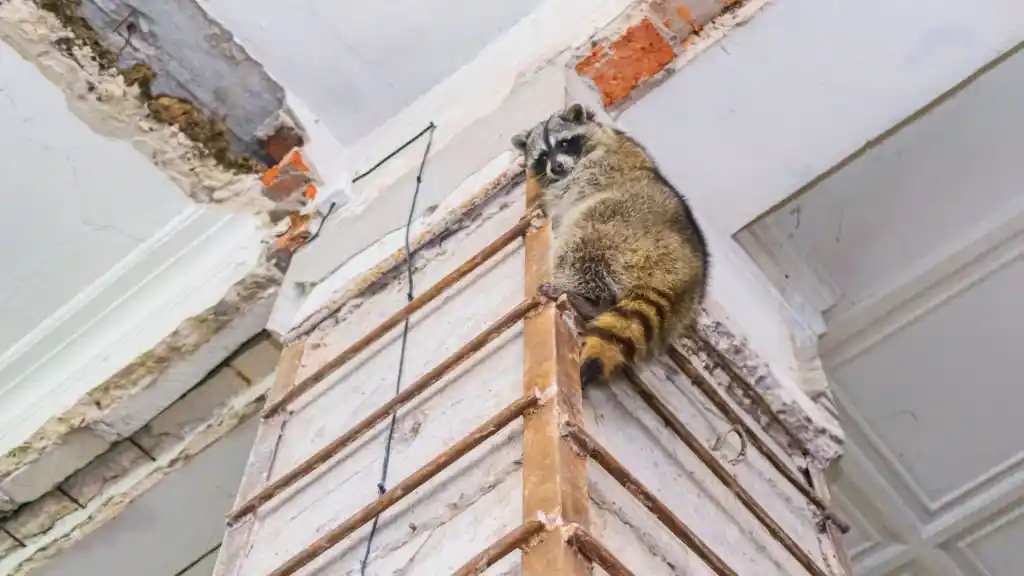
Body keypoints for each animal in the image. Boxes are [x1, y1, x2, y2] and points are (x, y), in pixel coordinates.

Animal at [509, 103, 708, 385]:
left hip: (620, 224)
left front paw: (547, 205)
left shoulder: (598, 165)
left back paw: (582, 293)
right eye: (543, 156)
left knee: (584, 243)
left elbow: (570, 190)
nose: (556, 167)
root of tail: (685, 272)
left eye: (564, 143)